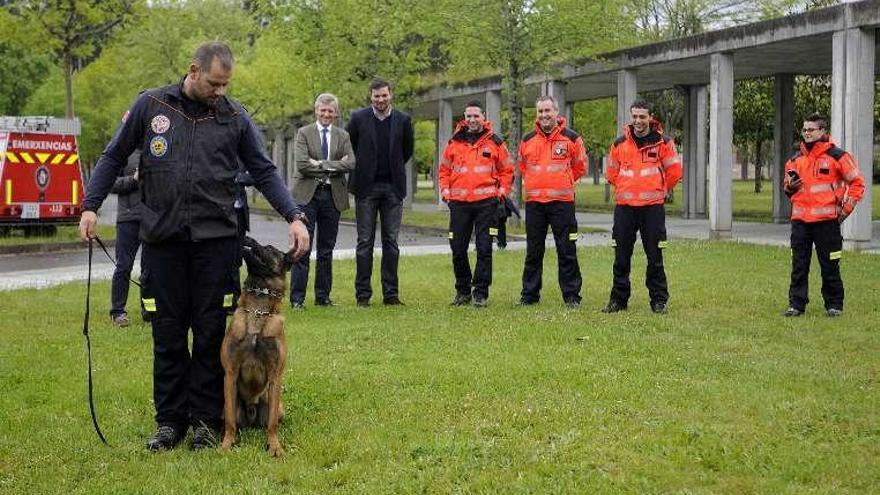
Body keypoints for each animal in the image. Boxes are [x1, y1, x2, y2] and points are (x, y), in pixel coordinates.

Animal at [220, 236, 296, 458]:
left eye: (269, 248)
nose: (247, 237)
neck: (257, 310)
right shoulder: (230, 373)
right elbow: (230, 422)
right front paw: (227, 444)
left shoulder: (275, 375)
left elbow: (271, 424)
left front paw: (274, 445)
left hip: (275, 403)